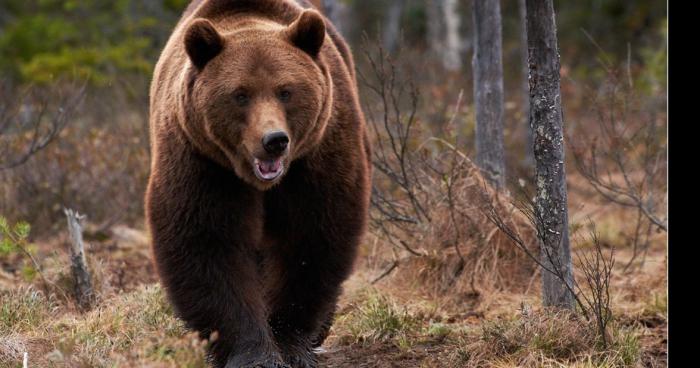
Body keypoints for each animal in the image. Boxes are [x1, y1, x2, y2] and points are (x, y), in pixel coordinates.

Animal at [145, 0, 370, 368]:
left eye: (286, 91)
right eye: (240, 94)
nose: (274, 140)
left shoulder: (316, 157)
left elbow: (311, 238)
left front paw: (291, 344)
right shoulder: (202, 161)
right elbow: (209, 243)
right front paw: (252, 352)